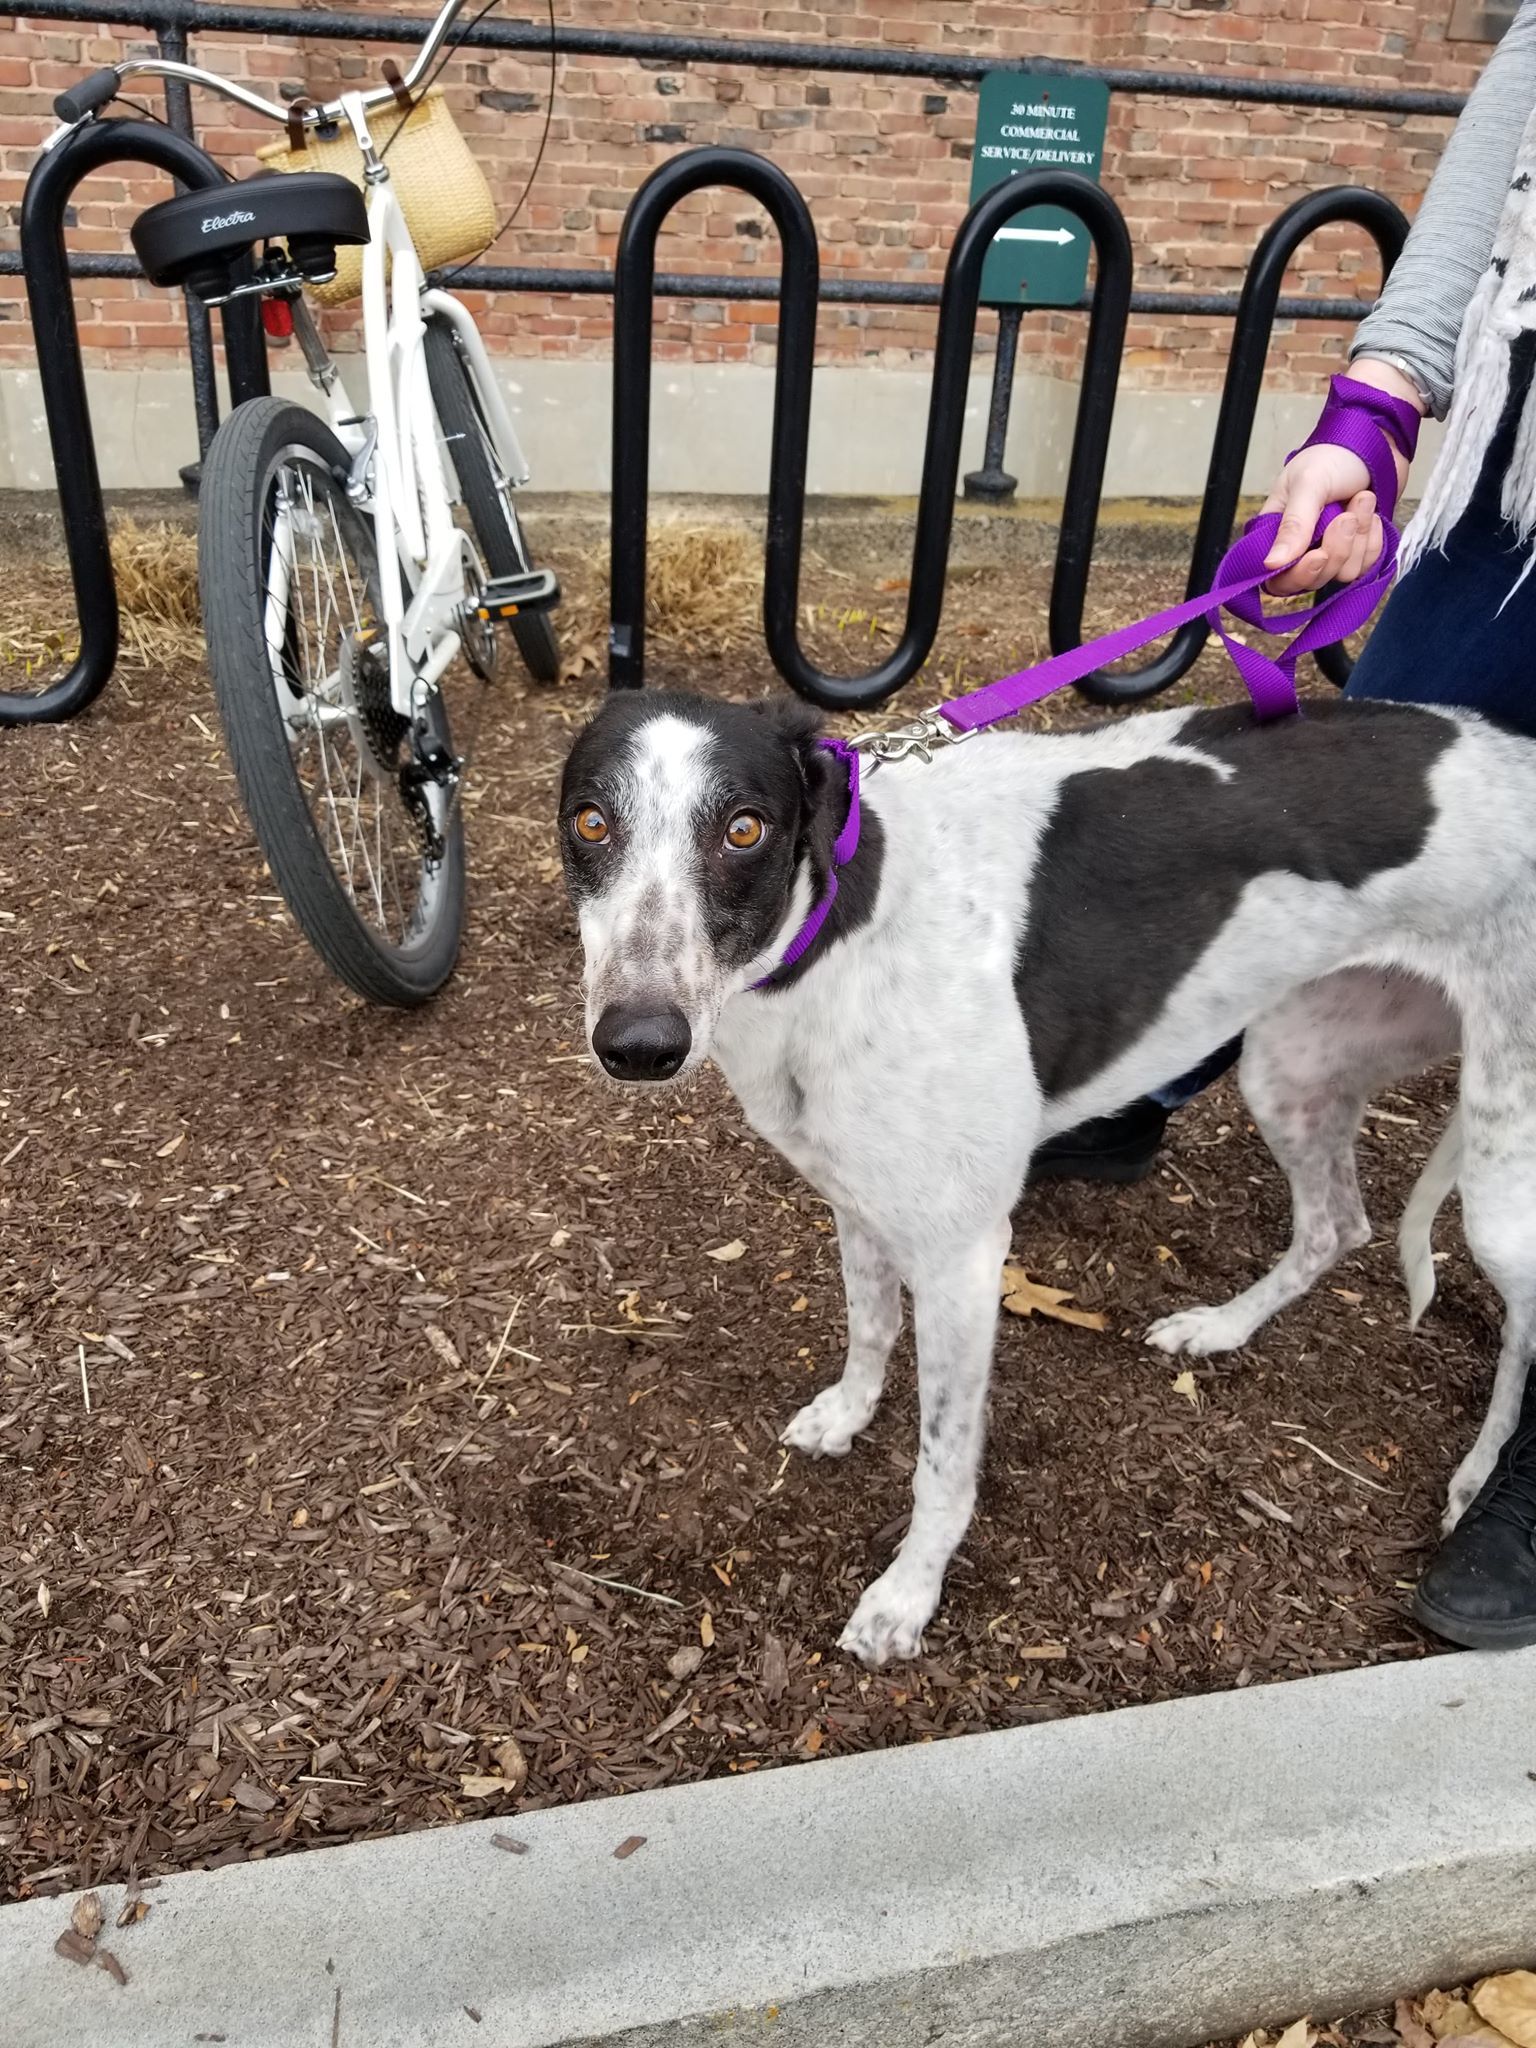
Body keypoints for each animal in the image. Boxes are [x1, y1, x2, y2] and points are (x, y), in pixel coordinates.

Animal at [561, 688, 1536, 1662]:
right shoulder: (859, 1197)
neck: (843, 924)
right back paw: (1219, 1328)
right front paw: (846, 1415)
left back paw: (1478, 1481)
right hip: (1292, 1063)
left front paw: (907, 1596)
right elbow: (870, 1326)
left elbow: (943, 1460)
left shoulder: (961, 1259)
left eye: (745, 828)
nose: (639, 1045)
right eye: (590, 821)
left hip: (1499, 1184)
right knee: (1339, 1222)